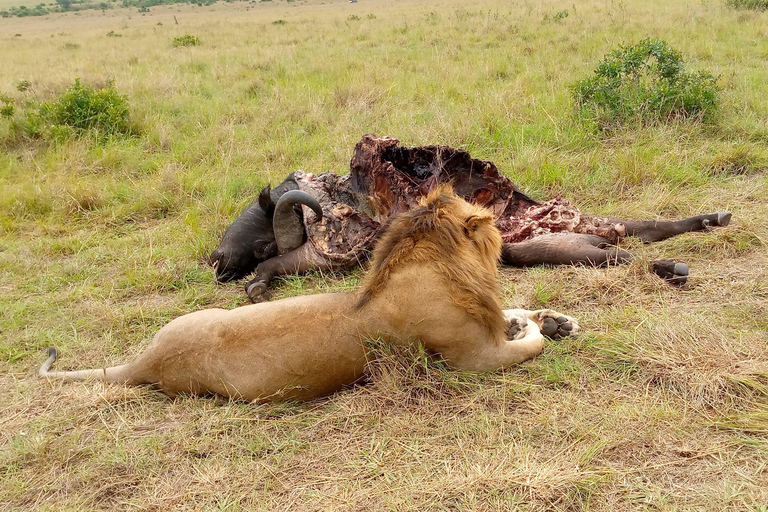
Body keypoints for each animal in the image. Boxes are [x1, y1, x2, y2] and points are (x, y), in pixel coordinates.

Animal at [39, 186, 580, 402]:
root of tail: (147, 361)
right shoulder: (474, 360)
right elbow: (526, 345)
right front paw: (538, 329)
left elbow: (512, 310)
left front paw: (555, 319)